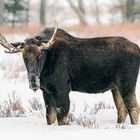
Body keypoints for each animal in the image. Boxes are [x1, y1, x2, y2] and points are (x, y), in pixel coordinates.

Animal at [0, 24, 140, 125]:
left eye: (40, 55)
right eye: (24, 57)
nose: (33, 80)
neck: (45, 69)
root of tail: (138, 49)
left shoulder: (62, 89)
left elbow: (62, 117)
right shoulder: (46, 91)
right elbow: (50, 117)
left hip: (126, 83)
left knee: (133, 108)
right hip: (115, 87)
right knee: (122, 109)